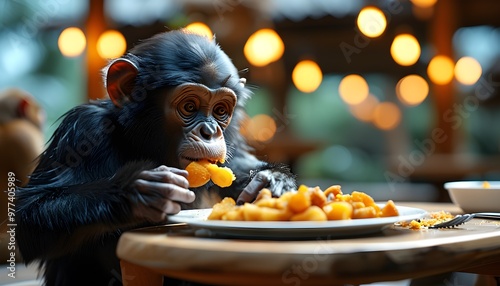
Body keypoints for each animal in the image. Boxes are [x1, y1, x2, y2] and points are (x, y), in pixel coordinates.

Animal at [16, 29, 296, 286]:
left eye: (220, 110)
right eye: (189, 107)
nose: (209, 131)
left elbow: (235, 167)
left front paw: (273, 181)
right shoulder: (82, 130)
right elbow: (30, 214)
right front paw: (137, 192)